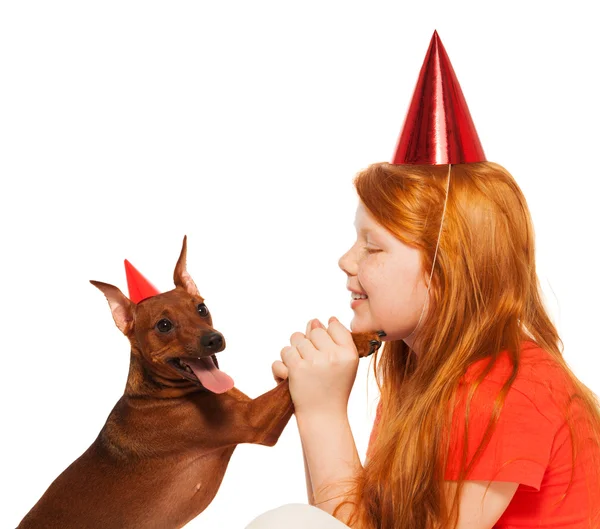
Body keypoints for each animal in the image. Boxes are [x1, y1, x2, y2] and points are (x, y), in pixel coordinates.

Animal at [19, 236, 384, 528]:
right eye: (164, 325)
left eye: (201, 308)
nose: (214, 339)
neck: (161, 394)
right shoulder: (255, 421)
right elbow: (290, 384)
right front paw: (357, 339)